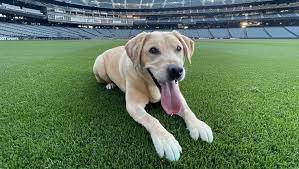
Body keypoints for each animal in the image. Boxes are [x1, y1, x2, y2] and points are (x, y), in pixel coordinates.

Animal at [93, 30, 213, 161]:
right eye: (153, 50)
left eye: (179, 48)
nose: (177, 70)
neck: (151, 85)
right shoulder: (133, 105)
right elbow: (152, 119)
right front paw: (166, 141)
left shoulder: (179, 97)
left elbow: (187, 109)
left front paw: (198, 125)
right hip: (99, 67)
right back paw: (110, 84)